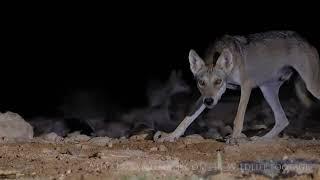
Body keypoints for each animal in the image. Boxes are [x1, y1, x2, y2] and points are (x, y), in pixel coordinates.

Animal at [154, 31, 318, 143]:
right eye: (201, 83)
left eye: (218, 81)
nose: (209, 102)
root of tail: (307, 42)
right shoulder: (204, 96)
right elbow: (186, 119)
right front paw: (170, 136)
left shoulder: (247, 86)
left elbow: (238, 118)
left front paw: (234, 138)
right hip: (267, 90)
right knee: (282, 120)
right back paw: (260, 140)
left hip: (311, 87)